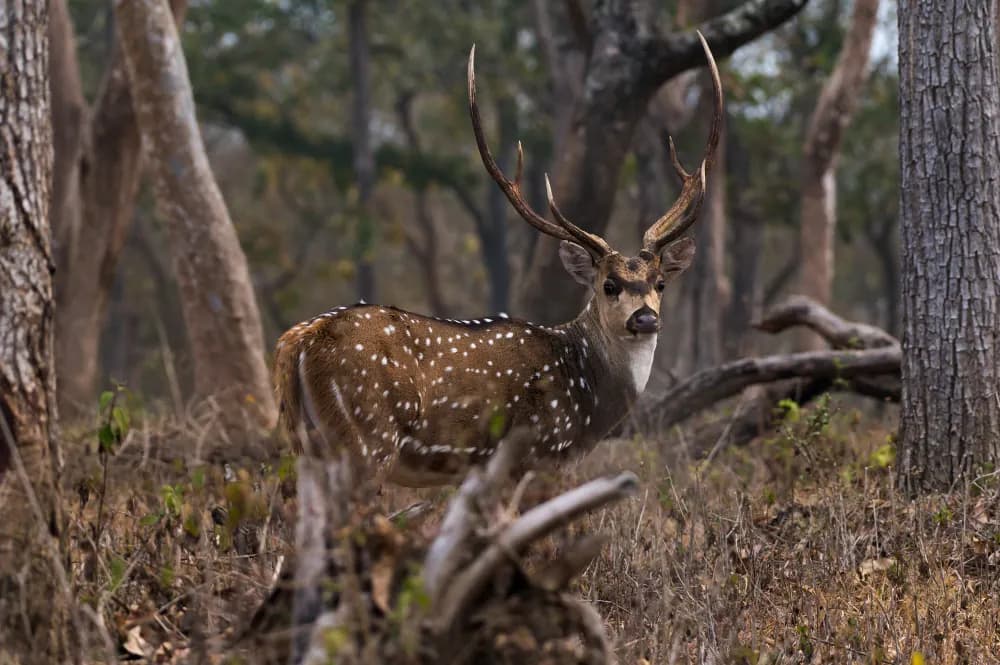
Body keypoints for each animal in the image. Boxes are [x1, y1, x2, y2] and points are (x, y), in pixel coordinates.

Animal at [274, 33, 722, 489]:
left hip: (306, 443)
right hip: (366, 438)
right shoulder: (540, 453)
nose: (645, 318)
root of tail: (296, 343)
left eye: (660, 282)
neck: (589, 402)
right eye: (608, 284)